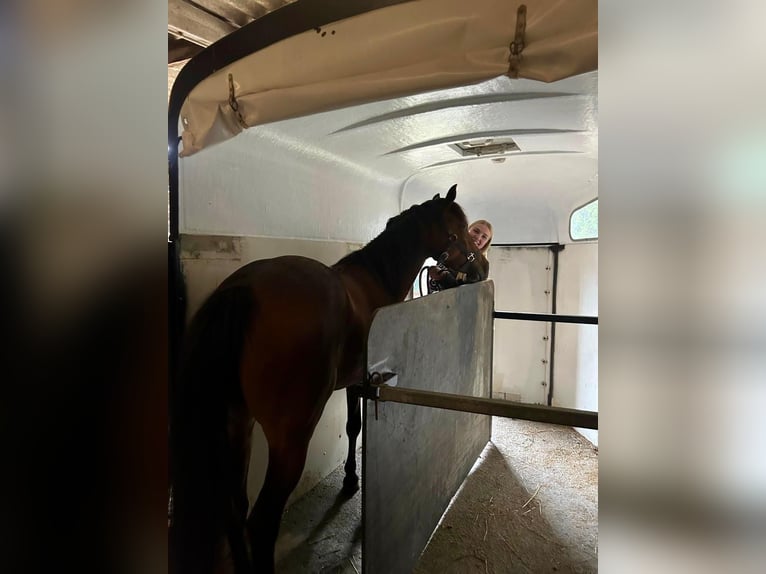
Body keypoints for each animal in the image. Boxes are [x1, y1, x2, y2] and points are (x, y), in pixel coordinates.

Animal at [169, 184, 485, 574]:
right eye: (460, 229)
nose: (481, 267)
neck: (374, 278)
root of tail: (243, 290)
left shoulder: (350, 383)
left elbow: (351, 427)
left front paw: (349, 480)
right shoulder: (359, 383)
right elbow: (356, 428)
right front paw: (353, 482)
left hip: (237, 425)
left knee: (235, 509)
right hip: (290, 440)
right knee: (261, 522)